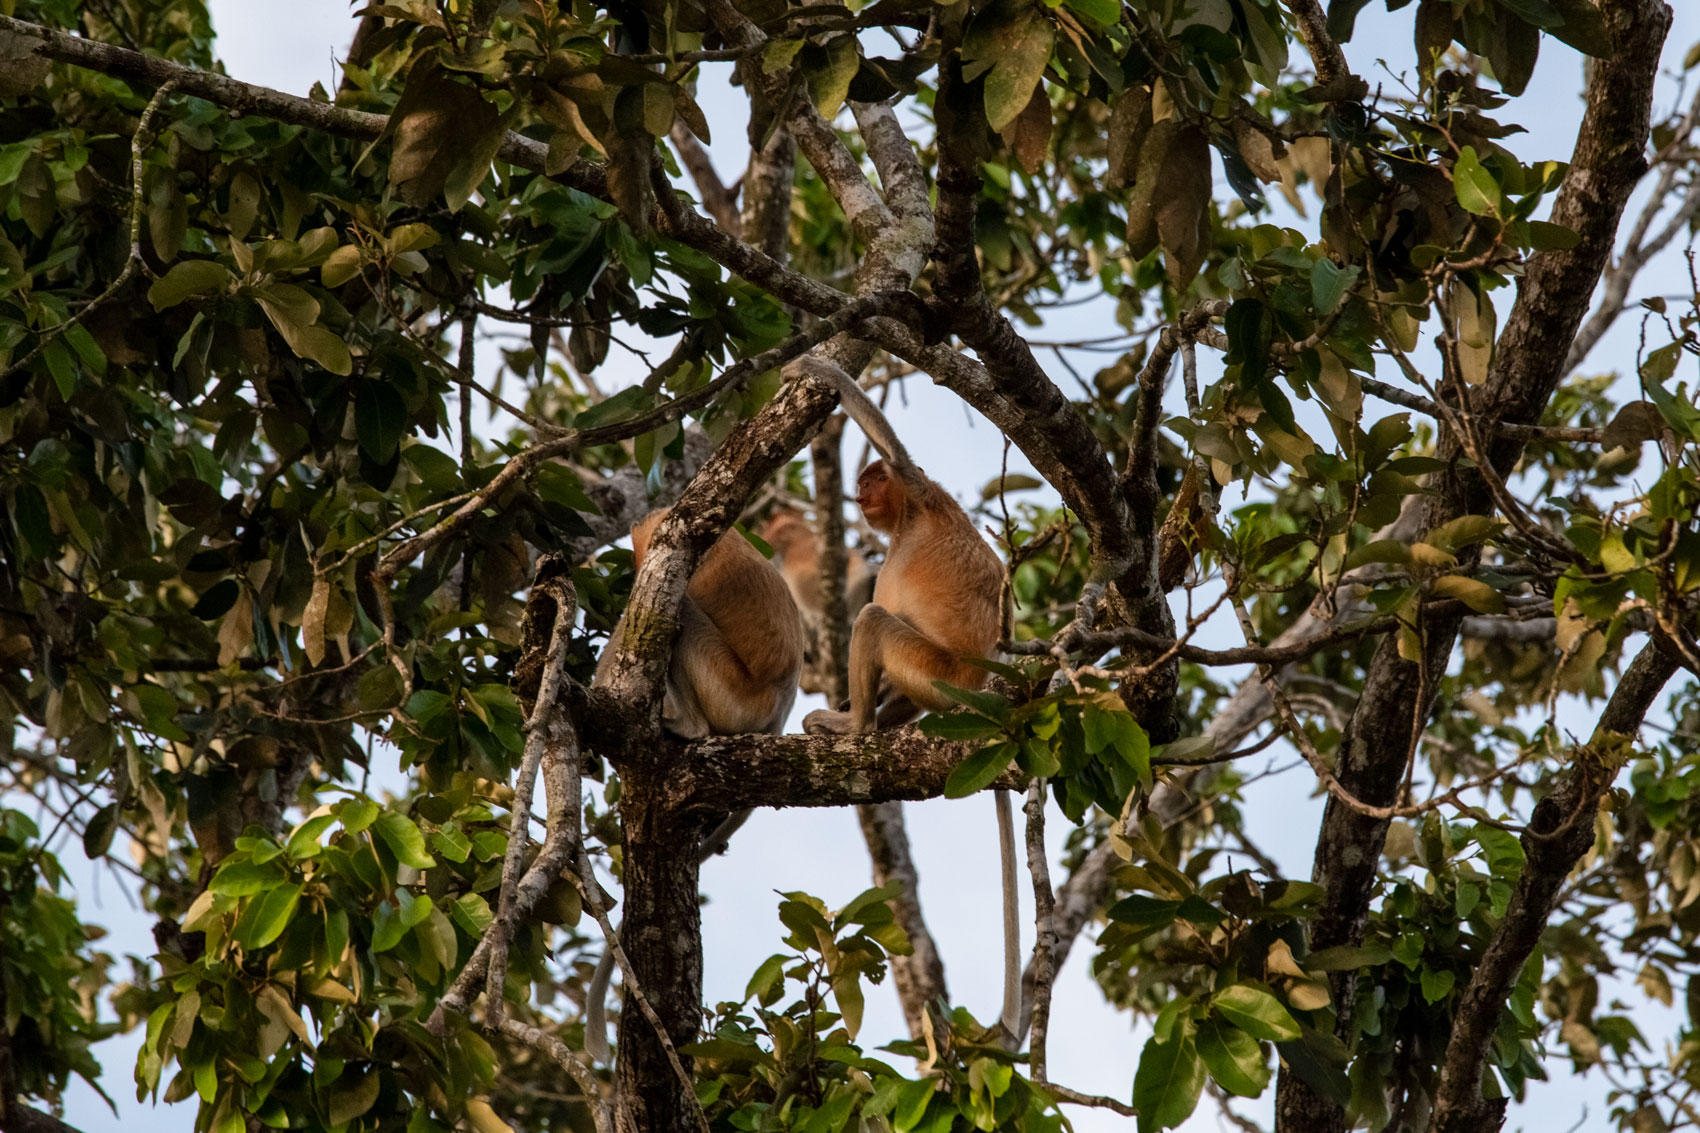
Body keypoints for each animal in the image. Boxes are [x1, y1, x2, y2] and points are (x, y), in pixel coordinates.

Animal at [584, 505, 804, 1062]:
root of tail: (776, 716)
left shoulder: (657, 538)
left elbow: (653, 611)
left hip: (730, 690)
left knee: (677, 617)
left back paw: (683, 725)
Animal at [789, 356, 1022, 1040]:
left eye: (872, 478)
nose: (862, 494)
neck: (904, 526)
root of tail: (982, 689)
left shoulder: (921, 490)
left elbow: (891, 440)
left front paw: (815, 365)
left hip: (937, 670)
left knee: (872, 621)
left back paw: (857, 729)